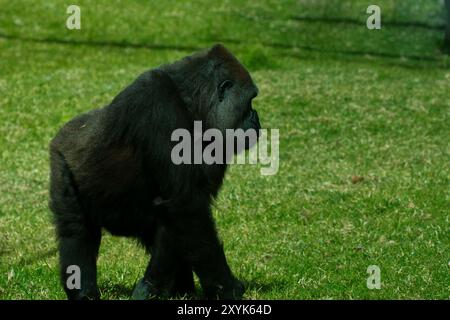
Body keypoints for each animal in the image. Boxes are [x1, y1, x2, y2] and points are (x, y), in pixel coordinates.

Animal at [48, 44, 260, 300]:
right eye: (250, 100)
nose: (256, 118)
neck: (191, 102)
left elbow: (181, 216)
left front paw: (156, 287)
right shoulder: (160, 109)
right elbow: (186, 206)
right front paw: (226, 288)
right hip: (60, 160)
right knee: (75, 230)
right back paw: (83, 292)